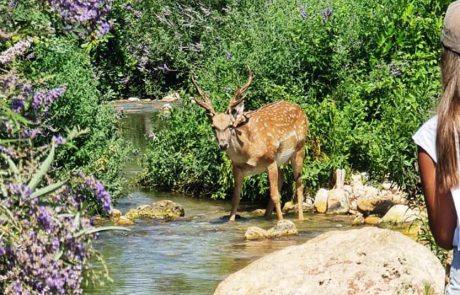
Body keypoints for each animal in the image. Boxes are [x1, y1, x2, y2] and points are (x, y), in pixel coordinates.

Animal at [192, 69, 308, 222]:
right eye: (213, 126)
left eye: (230, 125)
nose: (223, 145)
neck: (248, 151)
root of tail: (301, 110)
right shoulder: (237, 167)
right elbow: (235, 198)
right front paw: (231, 221)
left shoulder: (270, 160)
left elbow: (275, 195)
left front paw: (281, 222)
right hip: (280, 160)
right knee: (283, 178)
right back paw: (267, 216)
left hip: (299, 149)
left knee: (299, 183)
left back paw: (300, 218)